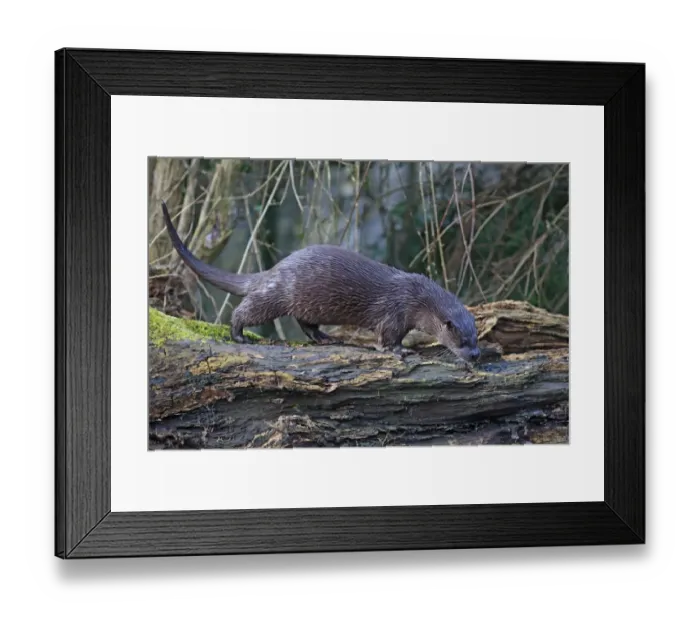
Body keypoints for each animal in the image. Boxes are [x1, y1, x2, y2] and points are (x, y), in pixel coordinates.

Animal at [161, 201, 480, 364]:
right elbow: (387, 338)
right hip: (278, 294)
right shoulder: (394, 312)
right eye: (462, 340)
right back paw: (239, 335)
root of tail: (275, 269)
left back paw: (325, 337)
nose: (476, 355)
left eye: (476, 338)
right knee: (245, 311)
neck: (416, 298)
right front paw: (400, 351)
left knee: (306, 323)